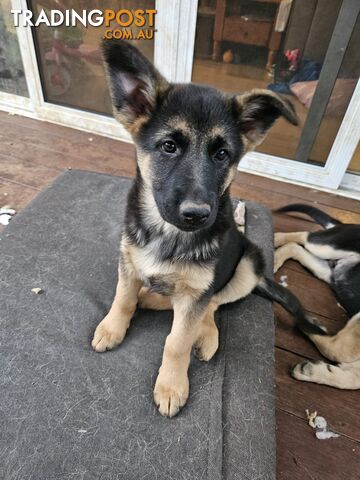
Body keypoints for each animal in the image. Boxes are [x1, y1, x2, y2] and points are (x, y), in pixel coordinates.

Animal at [91, 41, 322, 416]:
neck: (168, 235)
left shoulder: (198, 290)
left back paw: (203, 332)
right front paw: (113, 328)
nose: (197, 215)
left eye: (222, 154)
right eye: (169, 146)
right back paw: (149, 296)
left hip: (246, 265)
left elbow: (177, 341)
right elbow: (122, 298)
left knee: (212, 304)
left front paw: (171, 385)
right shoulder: (128, 262)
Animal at [276, 203, 360, 390]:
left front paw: (312, 371)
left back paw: (276, 257)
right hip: (329, 246)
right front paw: (309, 325)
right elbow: (337, 350)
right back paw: (275, 239)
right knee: (304, 236)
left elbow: (352, 379)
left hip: (330, 271)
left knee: (296, 248)